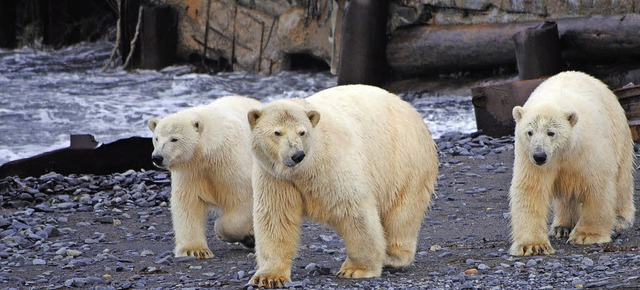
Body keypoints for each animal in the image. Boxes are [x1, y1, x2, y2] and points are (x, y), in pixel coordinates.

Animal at [148, 96, 262, 260]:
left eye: (174, 139)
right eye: (156, 138)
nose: (157, 157)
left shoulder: (231, 164)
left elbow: (242, 199)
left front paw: (240, 235)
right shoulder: (191, 171)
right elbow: (188, 203)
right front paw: (195, 250)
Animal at [245, 84, 440, 288]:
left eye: (302, 132)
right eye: (277, 132)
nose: (297, 155)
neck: (304, 169)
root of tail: (412, 111)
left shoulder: (332, 164)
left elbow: (354, 210)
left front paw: (356, 269)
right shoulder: (274, 177)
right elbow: (275, 218)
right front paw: (269, 277)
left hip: (404, 162)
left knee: (402, 214)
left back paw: (393, 257)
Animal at [510, 71, 636, 256]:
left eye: (551, 133)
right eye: (529, 132)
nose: (539, 156)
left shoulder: (587, 149)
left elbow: (597, 185)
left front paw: (587, 235)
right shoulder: (528, 158)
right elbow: (531, 189)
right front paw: (533, 245)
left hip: (619, 132)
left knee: (622, 180)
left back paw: (620, 218)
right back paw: (562, 227)